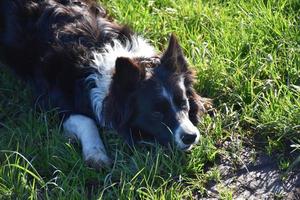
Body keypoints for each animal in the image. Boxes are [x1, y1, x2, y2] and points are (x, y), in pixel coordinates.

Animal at [0, 0, 211, 168]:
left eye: (183, 103)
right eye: (156, 113)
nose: (190, 136)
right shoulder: (48, 102)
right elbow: (87, 120)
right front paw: (96, 154)